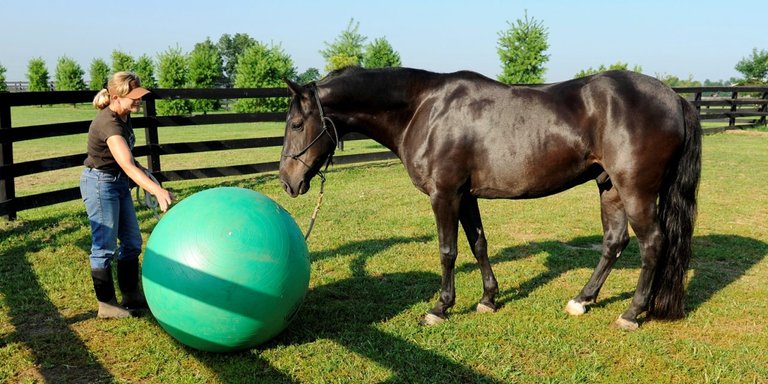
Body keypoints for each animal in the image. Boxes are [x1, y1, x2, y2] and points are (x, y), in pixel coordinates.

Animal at [280, 66, 700, 330]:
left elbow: (448, 251)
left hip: (636, 190)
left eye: (297, 124)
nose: (287, 181)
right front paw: (488, 299)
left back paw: (631, 313)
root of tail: (674, 98)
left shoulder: (444, 195)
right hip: (609, 187)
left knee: (652, 244)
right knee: (614, 242)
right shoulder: (465, 196)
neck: (424, 109)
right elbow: (479, 243)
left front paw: (440, 307)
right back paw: (582, 299)